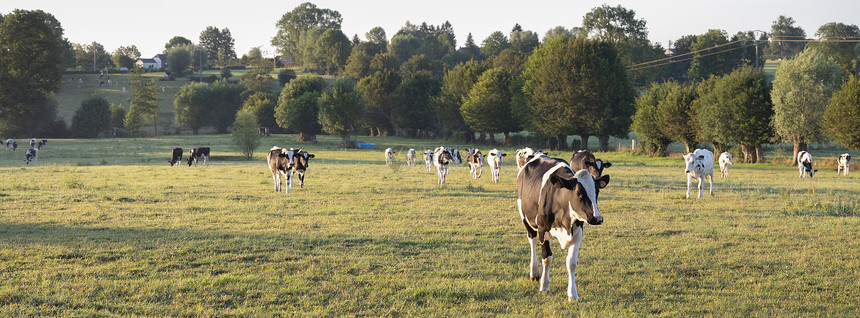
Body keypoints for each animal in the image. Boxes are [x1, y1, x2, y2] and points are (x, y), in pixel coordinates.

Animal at [516, 154, 612, 300]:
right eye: (579, 194)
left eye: (596, 192)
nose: (598, 218)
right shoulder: (543, 230)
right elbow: (547, 258)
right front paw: (544, 286)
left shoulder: (577, 232)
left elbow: (571, 263)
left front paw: (573, 294)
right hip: (526, 218)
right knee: (532, 241)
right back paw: (535, 273)